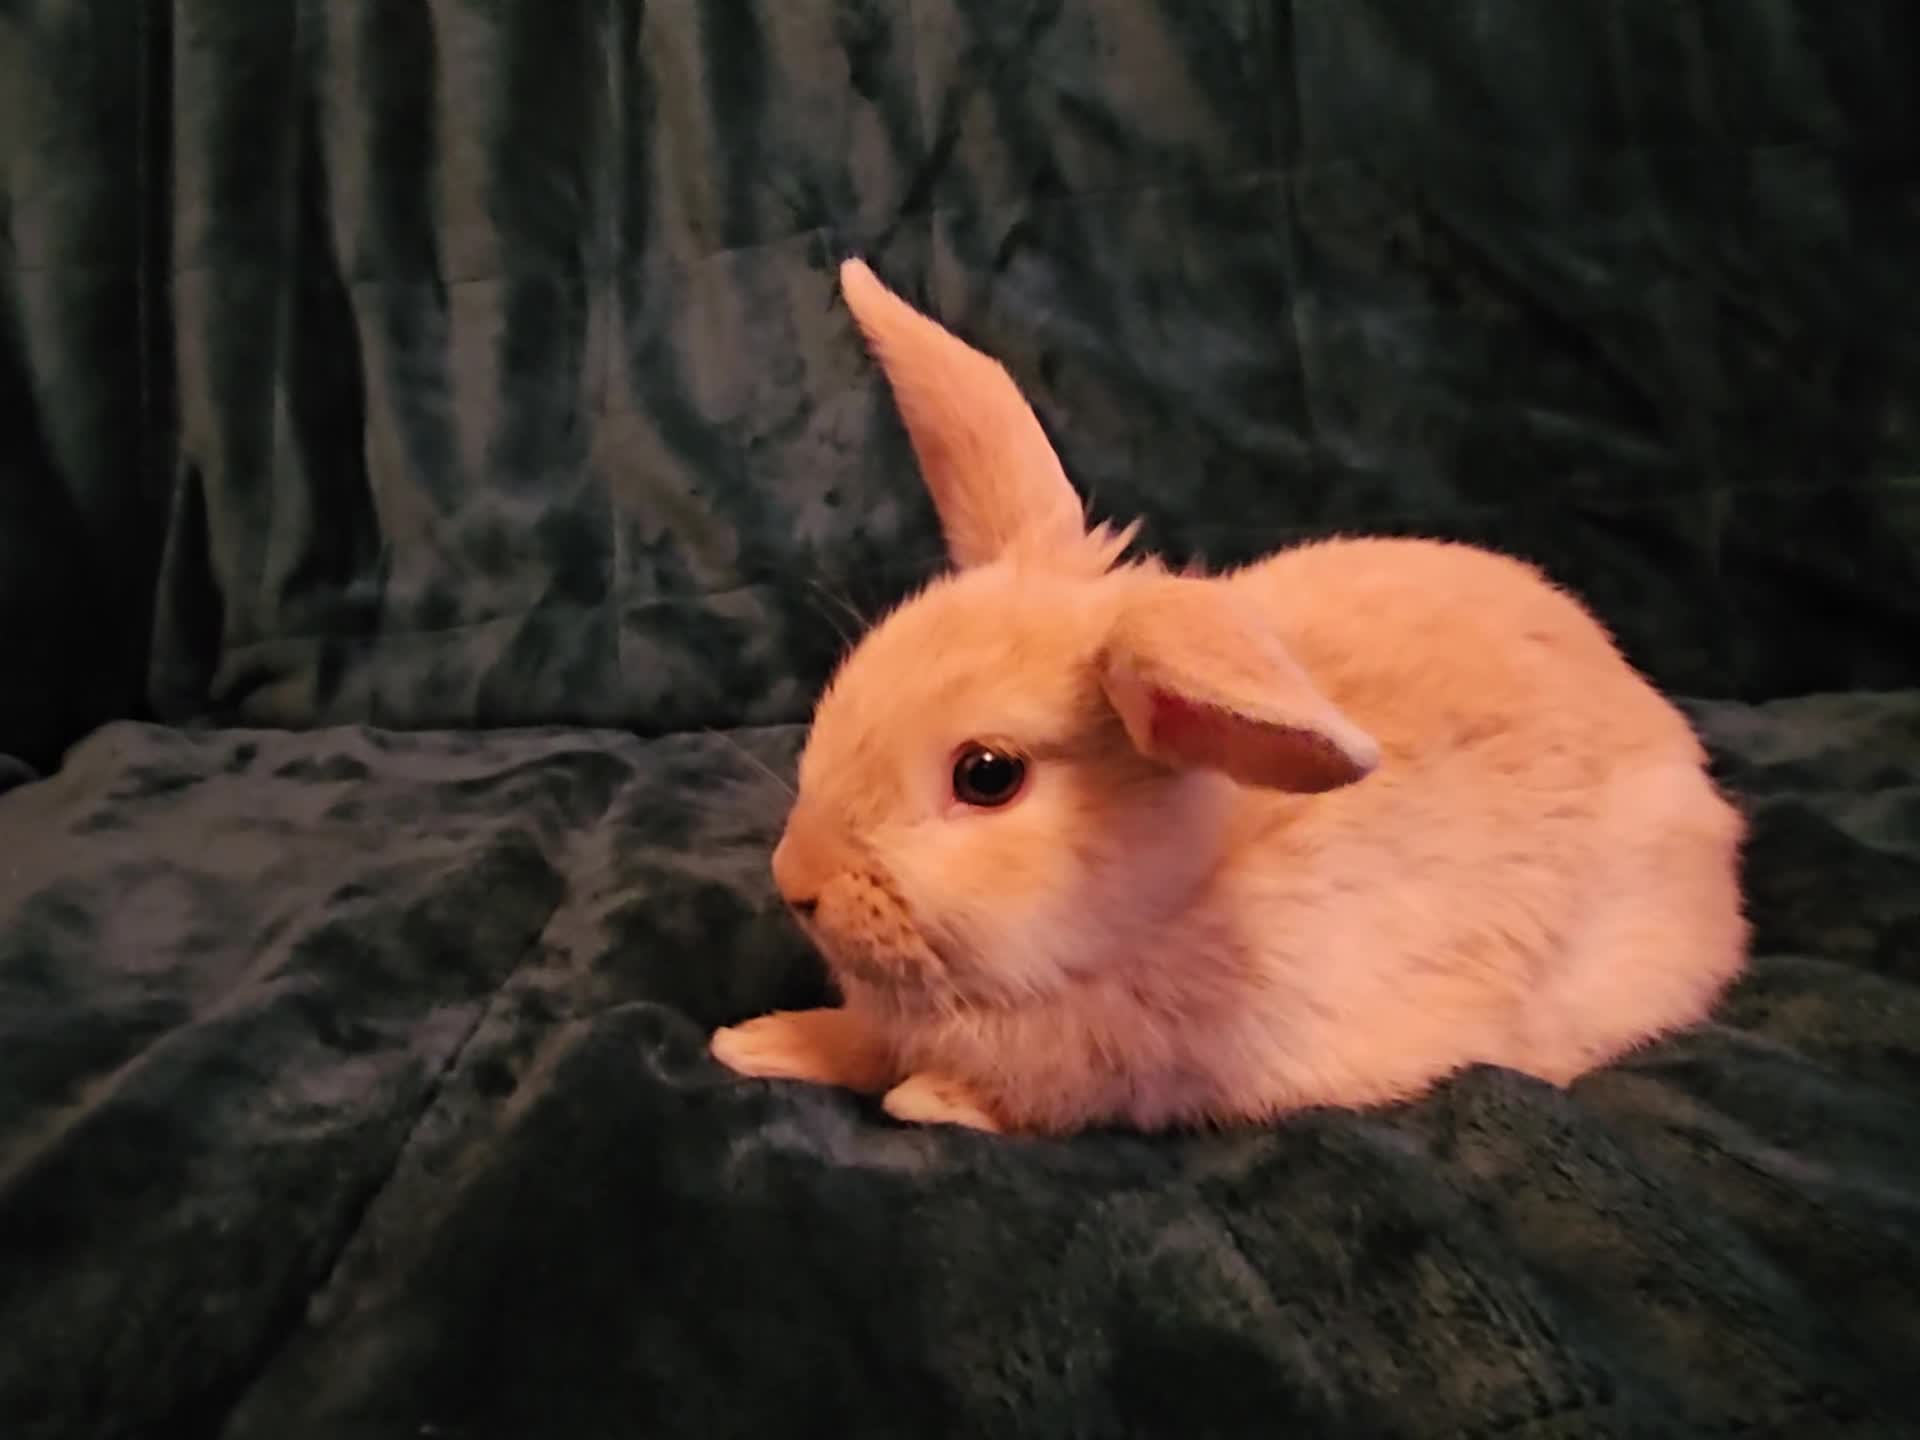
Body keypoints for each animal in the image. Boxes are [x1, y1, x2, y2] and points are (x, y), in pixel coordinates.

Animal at [710, 258, 1748, 1136]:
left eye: (988, 776)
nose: (796, 883)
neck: (1177, 887)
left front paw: (930, 1098)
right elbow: (854, 1038)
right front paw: (758, 1042)